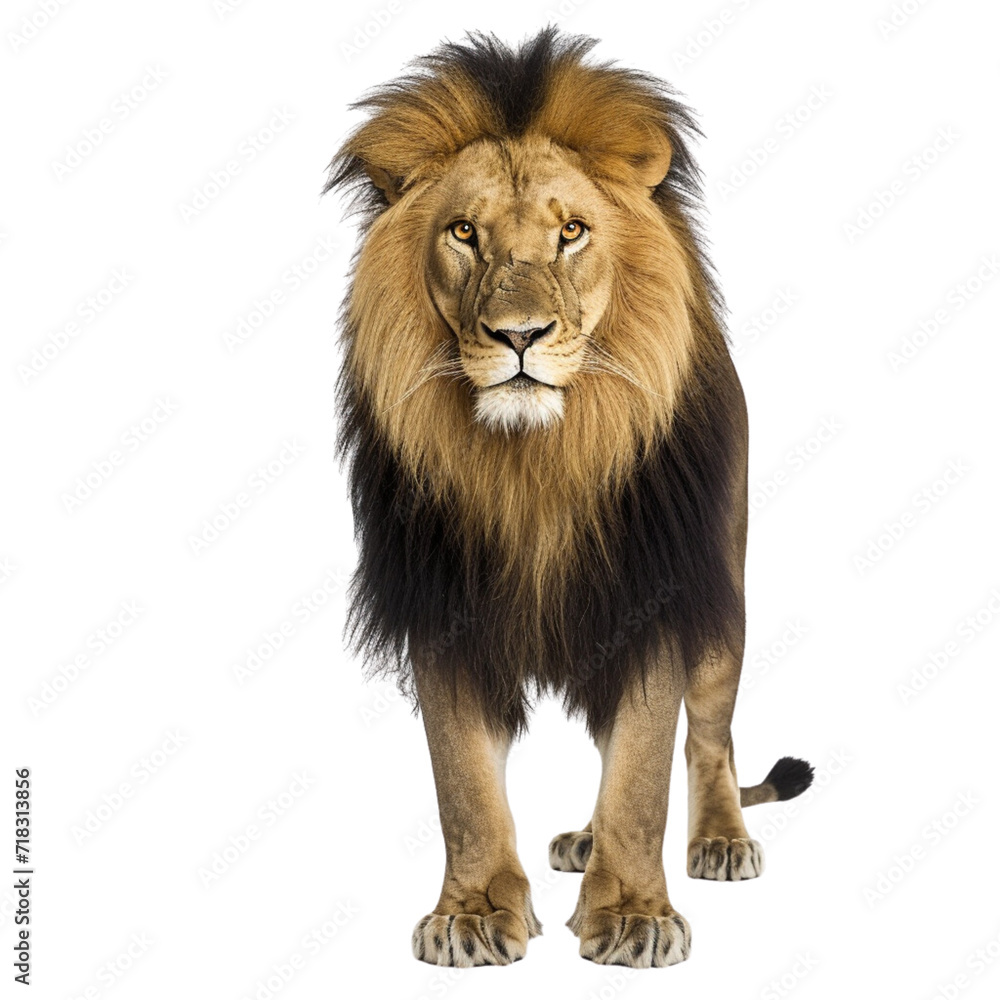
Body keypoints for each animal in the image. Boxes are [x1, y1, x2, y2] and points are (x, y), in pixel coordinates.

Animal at [325, 28, 814, 968]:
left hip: (722, 597)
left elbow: (643, 773)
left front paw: (633, 914)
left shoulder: (655, 591)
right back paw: (585, 839)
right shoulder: (442, 602)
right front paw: (474, 912)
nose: (519, 336)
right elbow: (464, 783)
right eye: (465, 232)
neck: (536, 463)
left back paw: (719, 838)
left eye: (573, 233)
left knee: (706, 737)